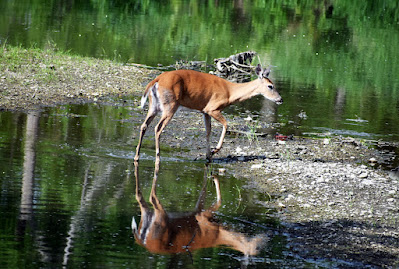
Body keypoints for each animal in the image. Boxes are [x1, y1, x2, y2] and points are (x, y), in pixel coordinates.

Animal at [133, 161, 268, 255]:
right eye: (257, 247)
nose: (265, 238)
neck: (219, 234)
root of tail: (141, 239)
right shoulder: (203, 216)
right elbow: (219, 201)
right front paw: (213, 176)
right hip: (160, 218)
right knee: (152, 198)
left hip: (147, 215)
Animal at [136, 64, 282, 161]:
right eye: (270, 86)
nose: (280, 99)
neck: (230, 93)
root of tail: (157, 80)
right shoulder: (212, 108)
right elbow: (226, 125)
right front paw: (214, 150)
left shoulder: (204, 111)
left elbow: (208, 132)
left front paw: (208, 155)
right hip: (170, 105)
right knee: (157, 128)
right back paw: (157, 157)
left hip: (154, 106)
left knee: (144, 125)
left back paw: (137, 156)